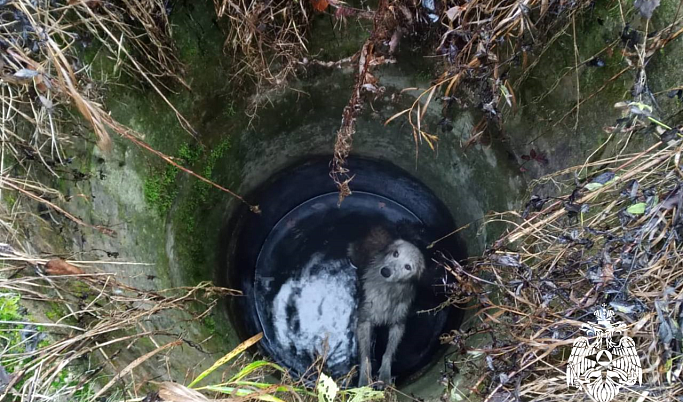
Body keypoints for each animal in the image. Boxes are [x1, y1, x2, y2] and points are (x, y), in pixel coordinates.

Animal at [350, 226, 424, 386]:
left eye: (408, 267)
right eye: (396, 253)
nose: (385, 271)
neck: (386, 291)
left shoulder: (399, 324)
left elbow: (389, 352)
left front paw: (384, 375)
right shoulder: (364, 320)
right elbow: (366, 356)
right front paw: (365, 378)